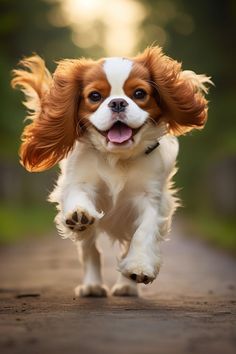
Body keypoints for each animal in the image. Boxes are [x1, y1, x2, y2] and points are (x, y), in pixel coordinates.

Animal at [11, 46, 212, 296]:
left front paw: (139, 267)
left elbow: (144, 232)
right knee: (90, 252)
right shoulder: (78, 181)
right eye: (95, 96)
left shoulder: (151, 198)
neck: (118, 157)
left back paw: (127, 286)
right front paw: (79, 213)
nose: (117, 103)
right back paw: (93, 286)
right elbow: (79, 197)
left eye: (139, 93)